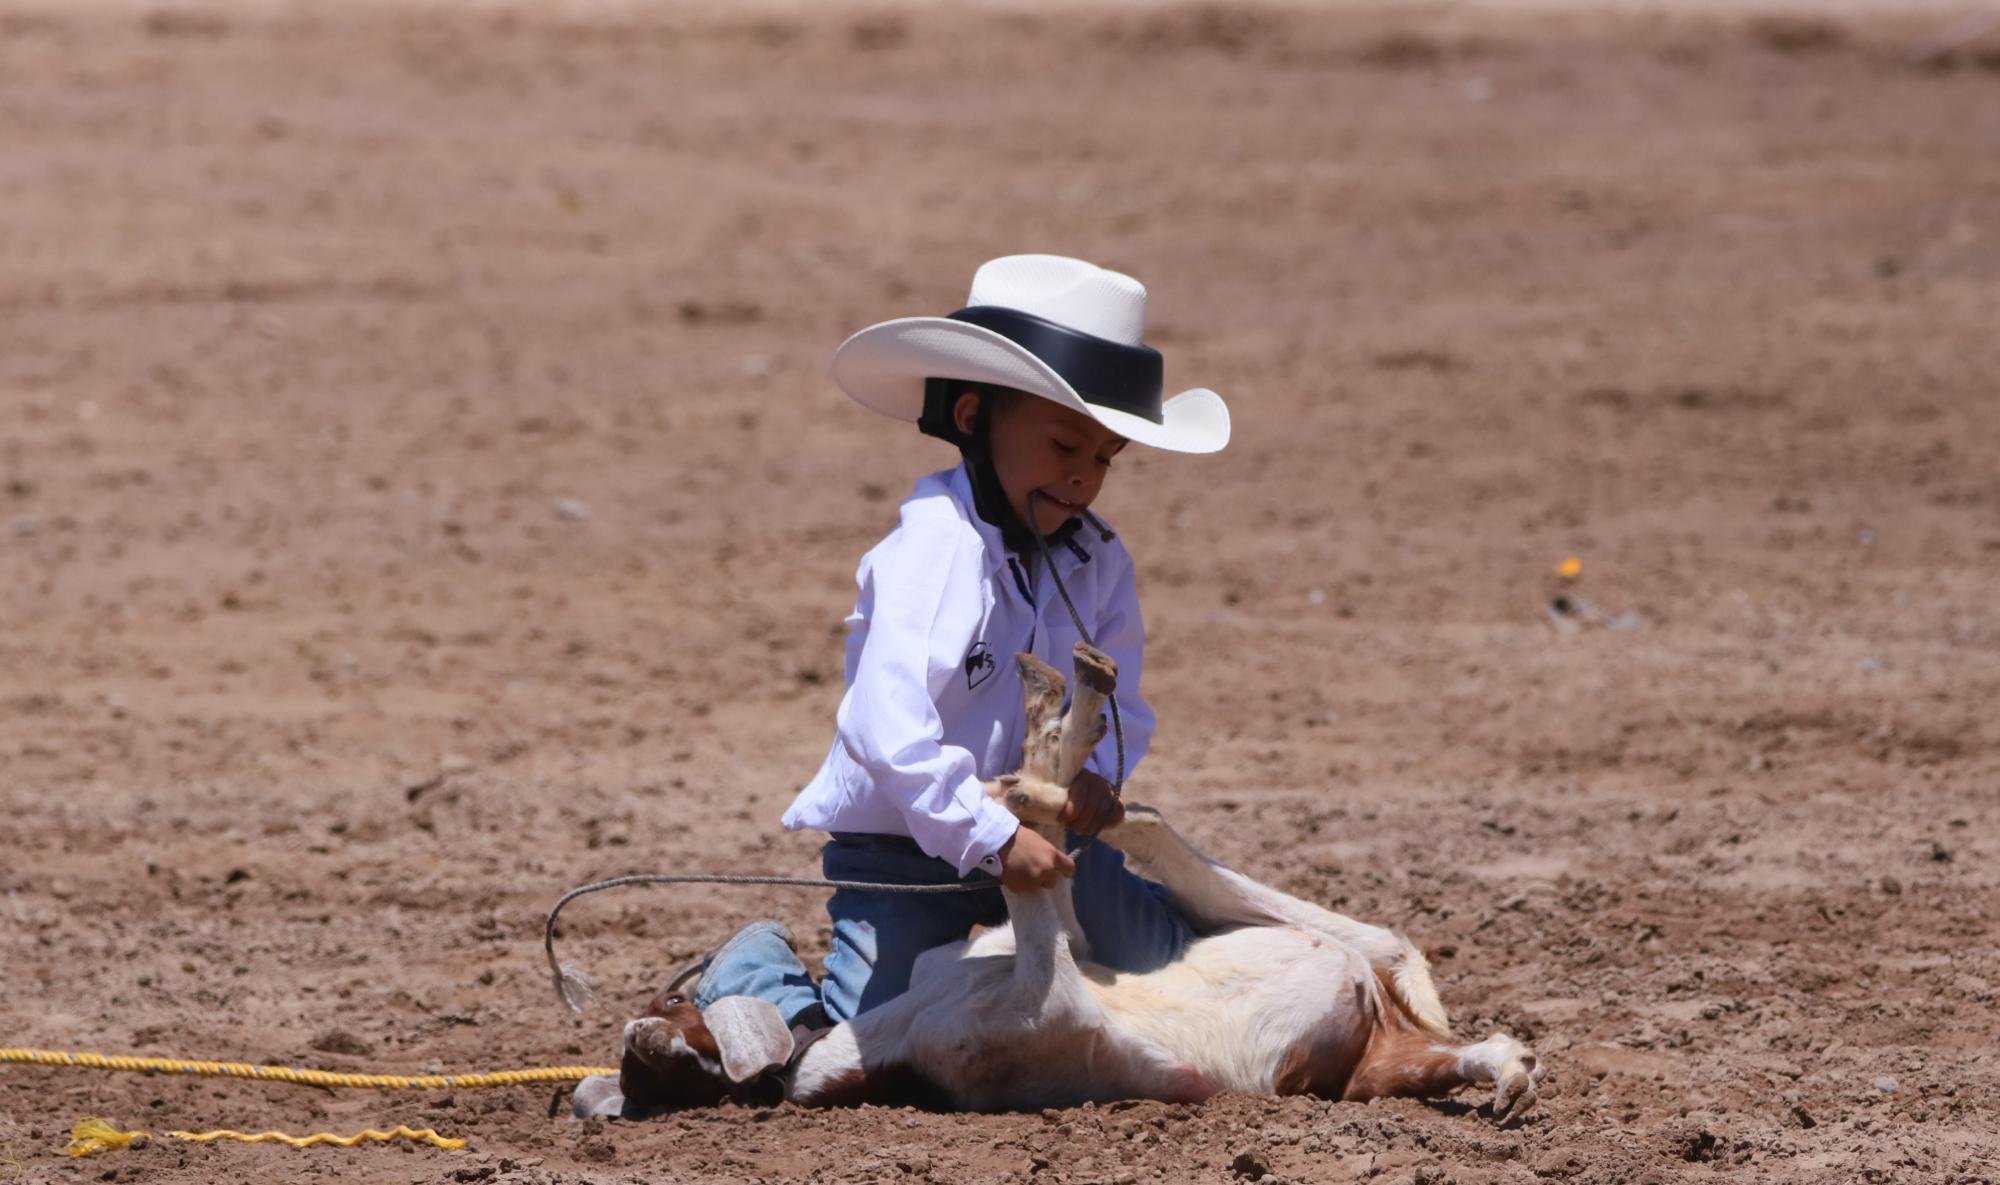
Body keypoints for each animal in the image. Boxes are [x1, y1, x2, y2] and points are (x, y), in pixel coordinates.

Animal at [580, 648, 1544, 1120]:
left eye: (672, 1004)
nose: (646, 1023)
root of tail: (1386, 1017)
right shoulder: (1052, 1000)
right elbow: (1040, 881)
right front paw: (1028, 784)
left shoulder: (1036, 957)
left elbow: (1049, 885)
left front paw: (1039, 765)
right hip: (1375, 1065)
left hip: (1304, 947)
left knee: (1159, 836)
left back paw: (1062, 743)